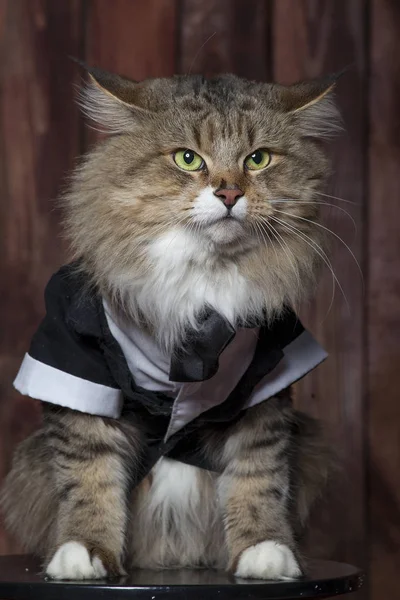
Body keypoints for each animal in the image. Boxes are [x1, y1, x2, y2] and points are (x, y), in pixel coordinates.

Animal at [0, 67, 340, 580]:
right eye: (187, 158)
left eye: (257, 159)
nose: (229, 193)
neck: (203, 277)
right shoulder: (81, 367)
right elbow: (88, 476)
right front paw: (84, 552)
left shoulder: (265, 380)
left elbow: (259, 474)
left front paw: (264, 551)